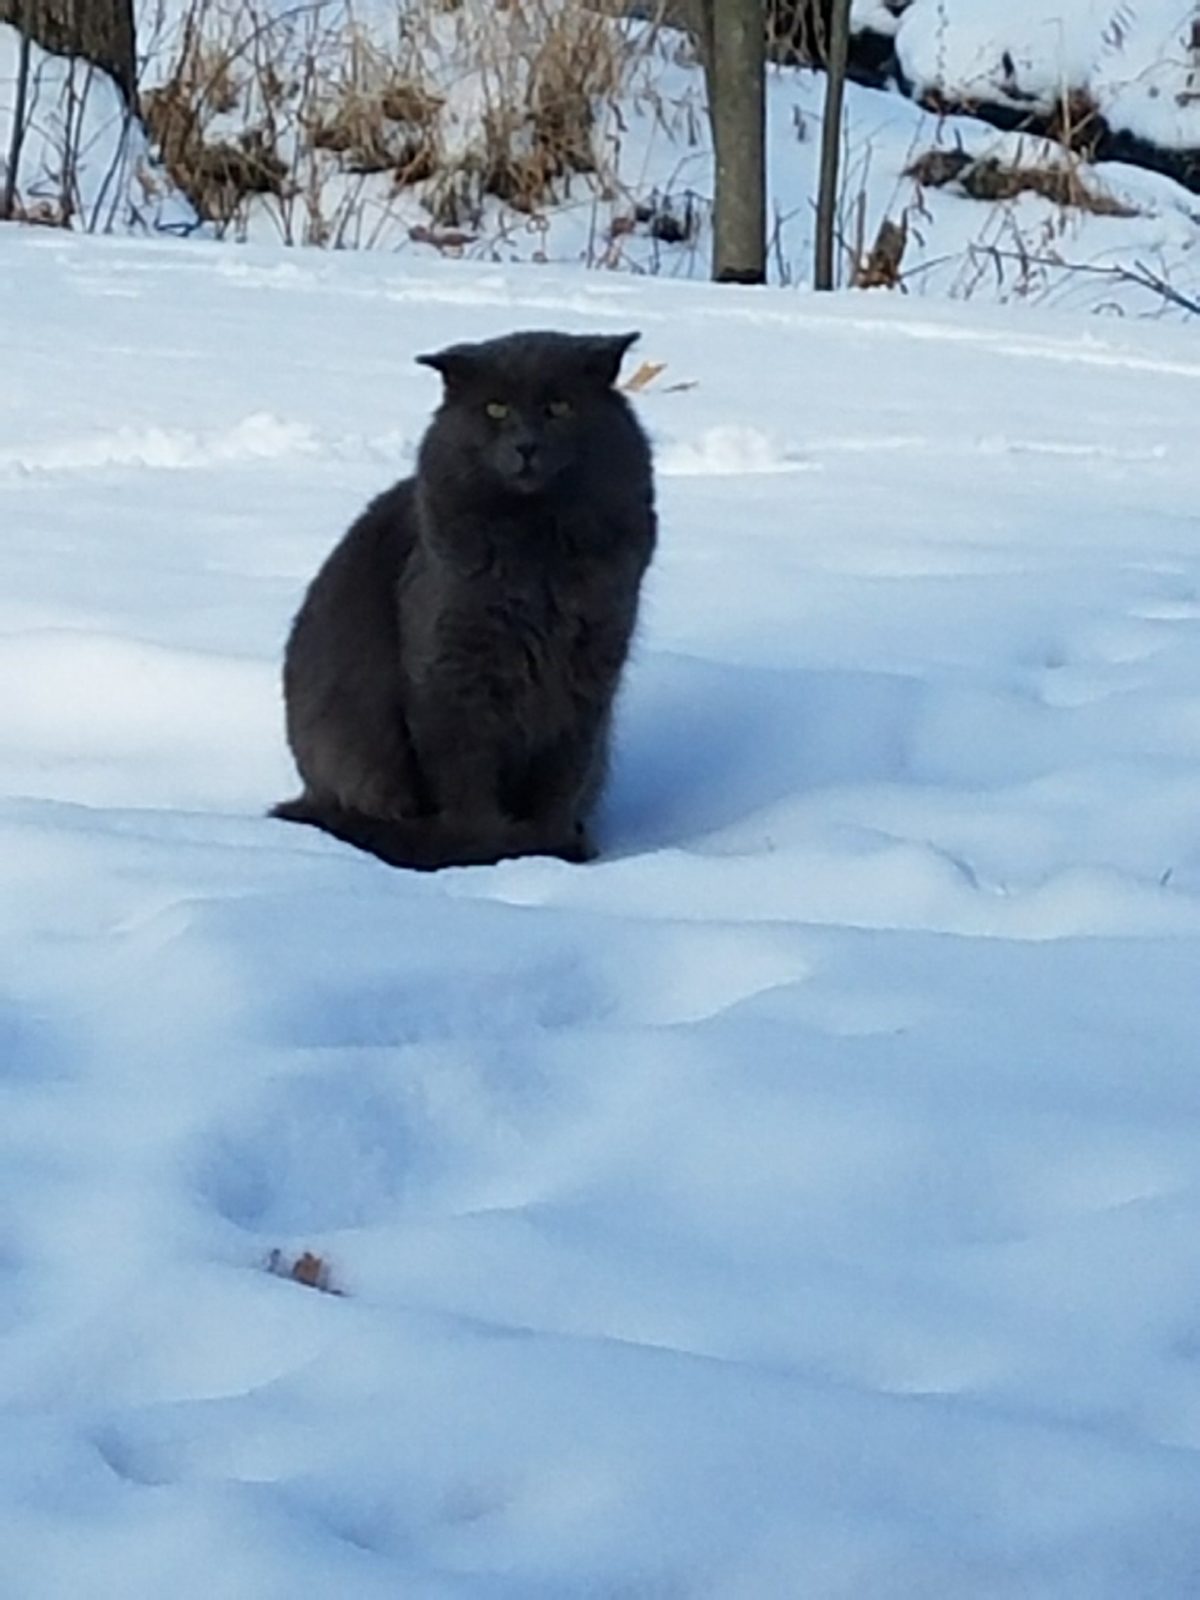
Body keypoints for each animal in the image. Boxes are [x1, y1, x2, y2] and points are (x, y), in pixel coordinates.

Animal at [272, 329, 659, 870]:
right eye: (495, 409)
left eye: (560, 406)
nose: (526, 445)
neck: (535, 548)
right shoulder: (452, 672)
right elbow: (465, 778)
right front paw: (485, 847)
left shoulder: (590, 671)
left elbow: (561, 776)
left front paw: (551, 845)